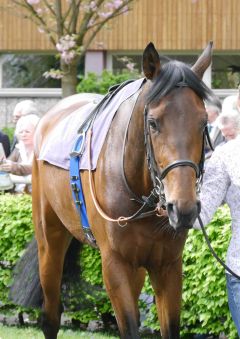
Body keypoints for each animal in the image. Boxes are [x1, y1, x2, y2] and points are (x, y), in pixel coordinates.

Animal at [11, 43, 216, 339]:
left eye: (203, 122)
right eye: (153, 123)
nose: (184, 208)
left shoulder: (167, 264)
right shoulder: (114, 263)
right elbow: (128, 327)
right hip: (49, 240)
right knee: (50, 314)